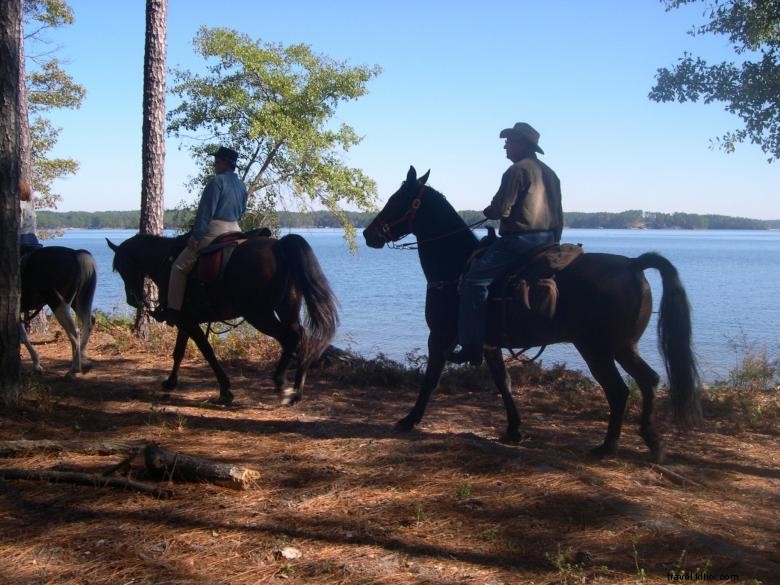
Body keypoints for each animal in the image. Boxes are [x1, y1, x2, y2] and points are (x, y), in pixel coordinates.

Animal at [20, 245, 97, 374]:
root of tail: (75, 254)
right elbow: (23, 335)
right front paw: (36, 364)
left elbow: (23, 336)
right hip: (75, 302)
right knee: (89, 322)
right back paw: (82, 357)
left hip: (57, 303)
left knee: (74, 331)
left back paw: (74, 368)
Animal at [108, 230, 340, 404]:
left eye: (121, 266)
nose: (133, 299)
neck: (167, 261)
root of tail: (279, 247)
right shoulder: (186, 321)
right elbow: (179, 352)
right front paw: (171, 382)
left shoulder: (188, 321)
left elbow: (207, 352)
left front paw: (225, 388)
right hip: (286, 308)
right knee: (301, 336)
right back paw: (296, 390)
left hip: (259, 314)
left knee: (290, 337)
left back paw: (281, 382)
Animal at [364, 165, 700, 460]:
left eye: (396, 199)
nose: (369, 234)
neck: (456, 266)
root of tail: (633, 264)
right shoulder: (488, 344)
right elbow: (503, 382)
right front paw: (514, 429)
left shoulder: (441, 337)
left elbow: (431, 379)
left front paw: (409, 419)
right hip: (623, 347)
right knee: (649, 380)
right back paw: (651, 441)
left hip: (598, 349)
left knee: (618, 391)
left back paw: (608, 447)